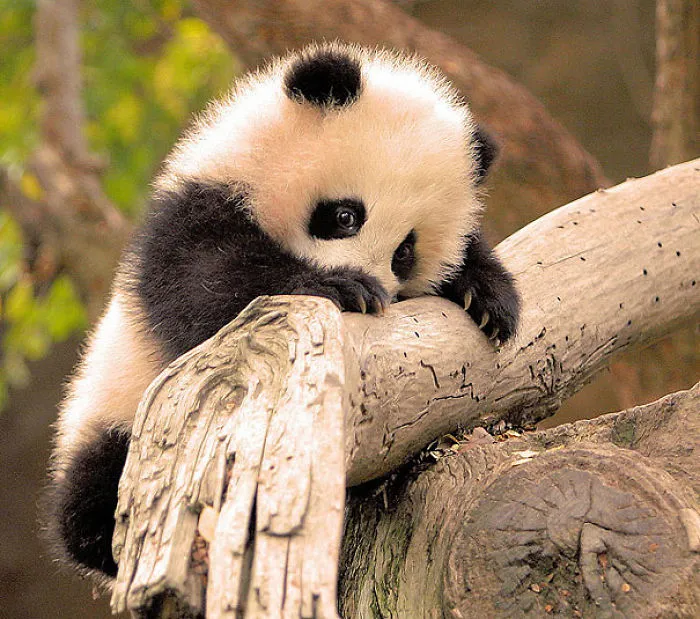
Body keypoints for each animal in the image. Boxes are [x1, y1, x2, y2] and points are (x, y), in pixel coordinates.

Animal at [45, 42, 519, 584]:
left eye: (405, 253)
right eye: (345, 215)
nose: (377, 284)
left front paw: (488, 297)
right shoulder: (190, 218)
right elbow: (213, 288)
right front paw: (341, 287)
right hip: (119, 409)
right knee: (94, 493)